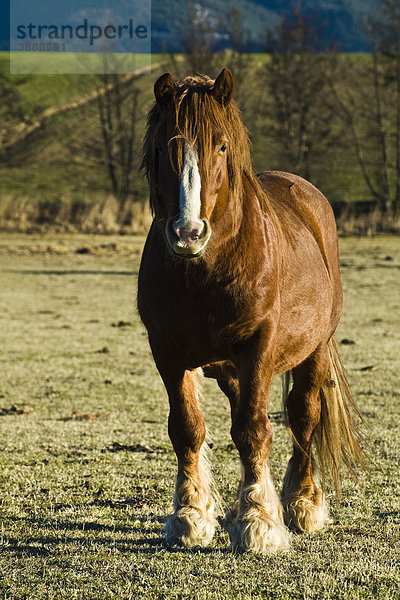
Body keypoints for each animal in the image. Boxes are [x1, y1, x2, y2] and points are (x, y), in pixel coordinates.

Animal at [138, 69, 366, 552]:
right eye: (164, 147)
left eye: (222, 146)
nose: (188, 233)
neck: (205, 272)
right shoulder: (166, 351)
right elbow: (186, 428)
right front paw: (191, 516)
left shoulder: (257, 348)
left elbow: (253, 430)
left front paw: (259, 522)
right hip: (230, 371)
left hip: (313, 351)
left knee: (303, 416)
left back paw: (302, 504)